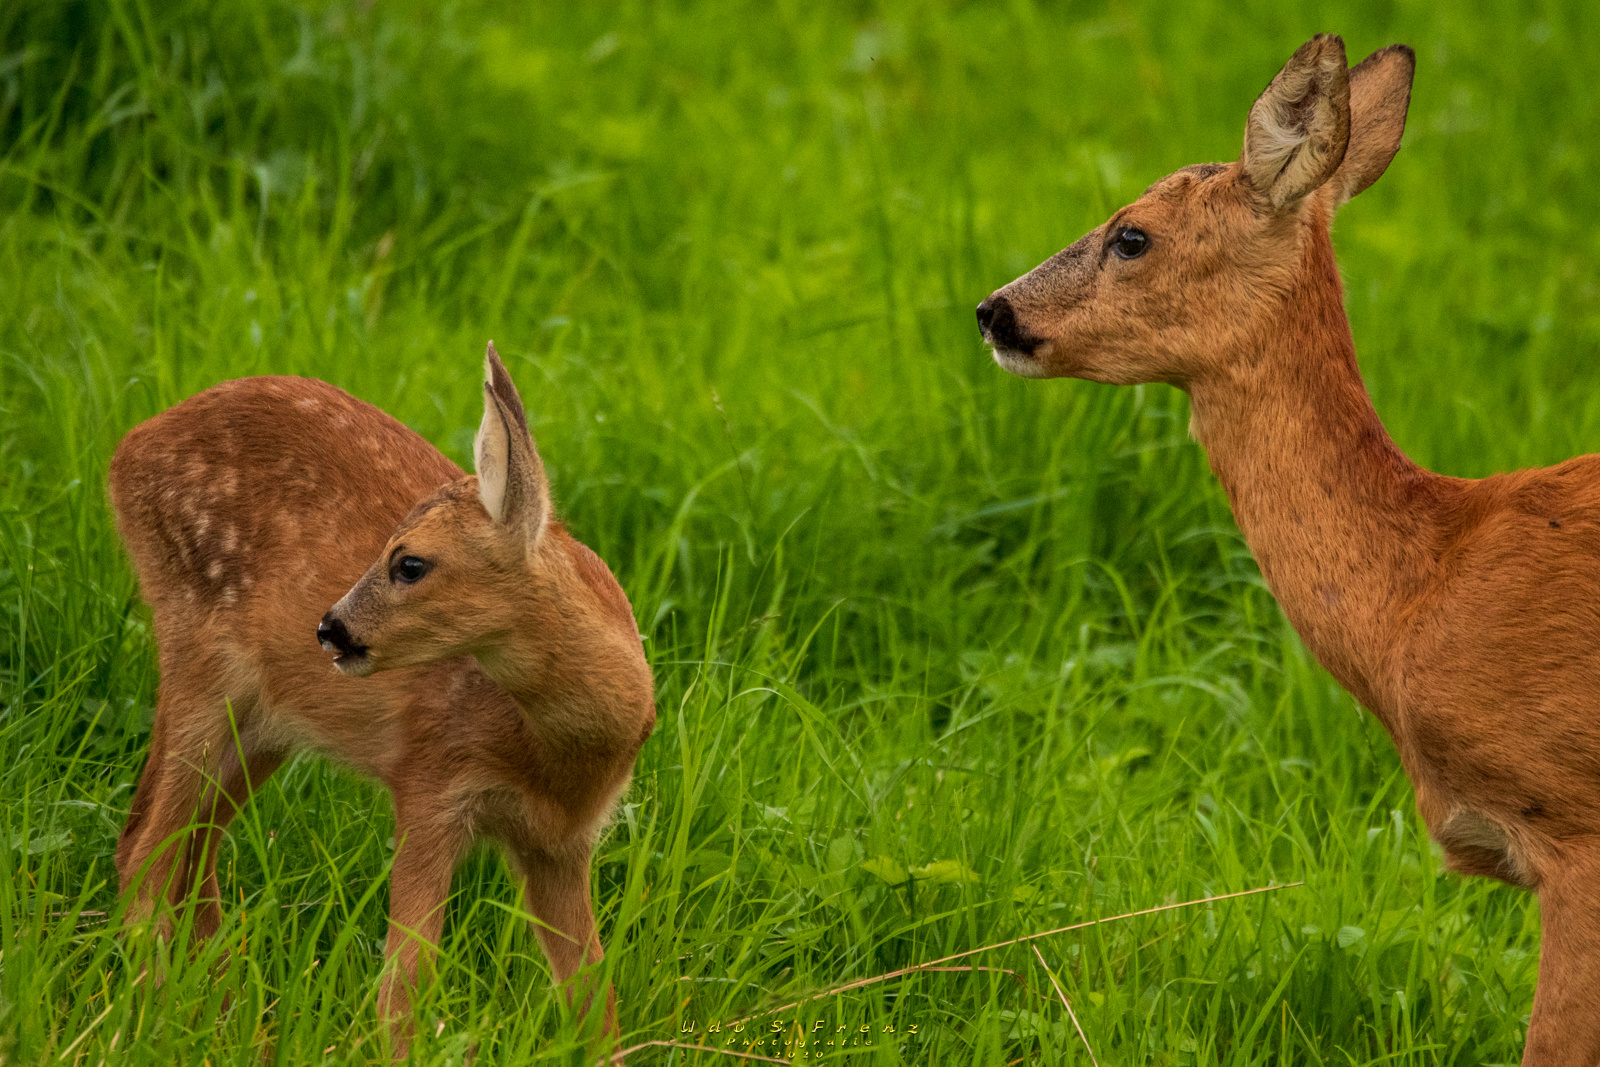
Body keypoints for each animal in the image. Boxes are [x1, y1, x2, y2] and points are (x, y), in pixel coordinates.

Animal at [109, 343, 652, 1049]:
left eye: (410, 563)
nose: (330, 627)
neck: (556, 761)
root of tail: (126, 448)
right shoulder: (431, 784)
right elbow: (405, 985)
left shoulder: (562, 843)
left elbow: (595, 1000)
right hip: (201, 662)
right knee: (145, 852)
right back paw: (151, 1021)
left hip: (265, 724)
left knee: (188, 852)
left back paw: (229, 1019)